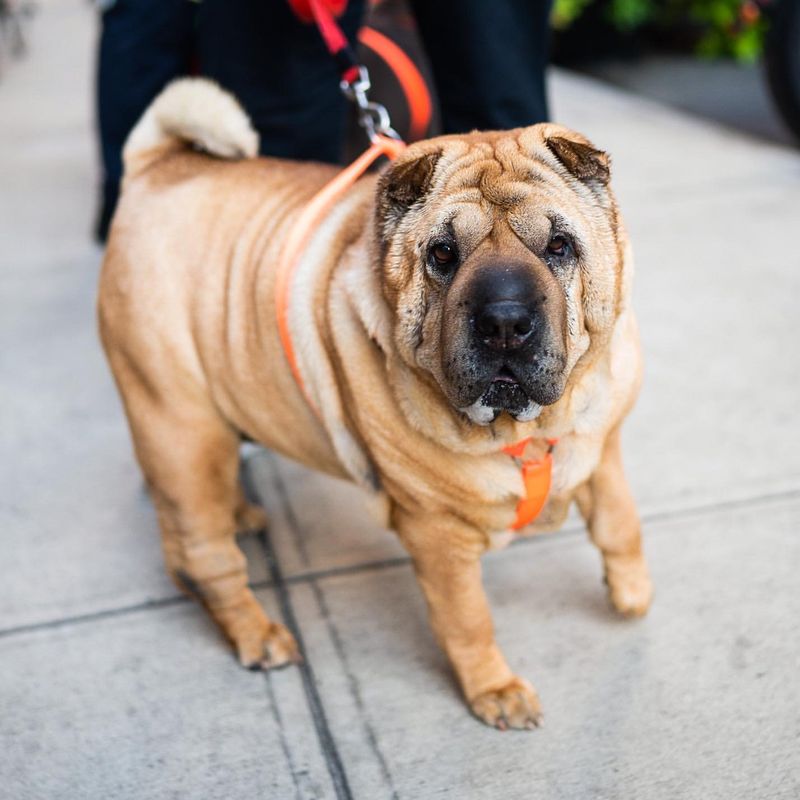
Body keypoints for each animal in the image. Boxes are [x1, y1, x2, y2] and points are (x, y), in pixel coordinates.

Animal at [98, 78, 648, 728]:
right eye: (442, 255)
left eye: (559, 245)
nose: (505, 322)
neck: (529, 431)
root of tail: (154, 165)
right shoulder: (437, 534)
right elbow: (468, 619)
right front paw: (495, 691)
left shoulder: (603, 441)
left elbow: (618, 519)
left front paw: (632, 593)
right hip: (181, 428)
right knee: (206, 555)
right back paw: (259, 634)